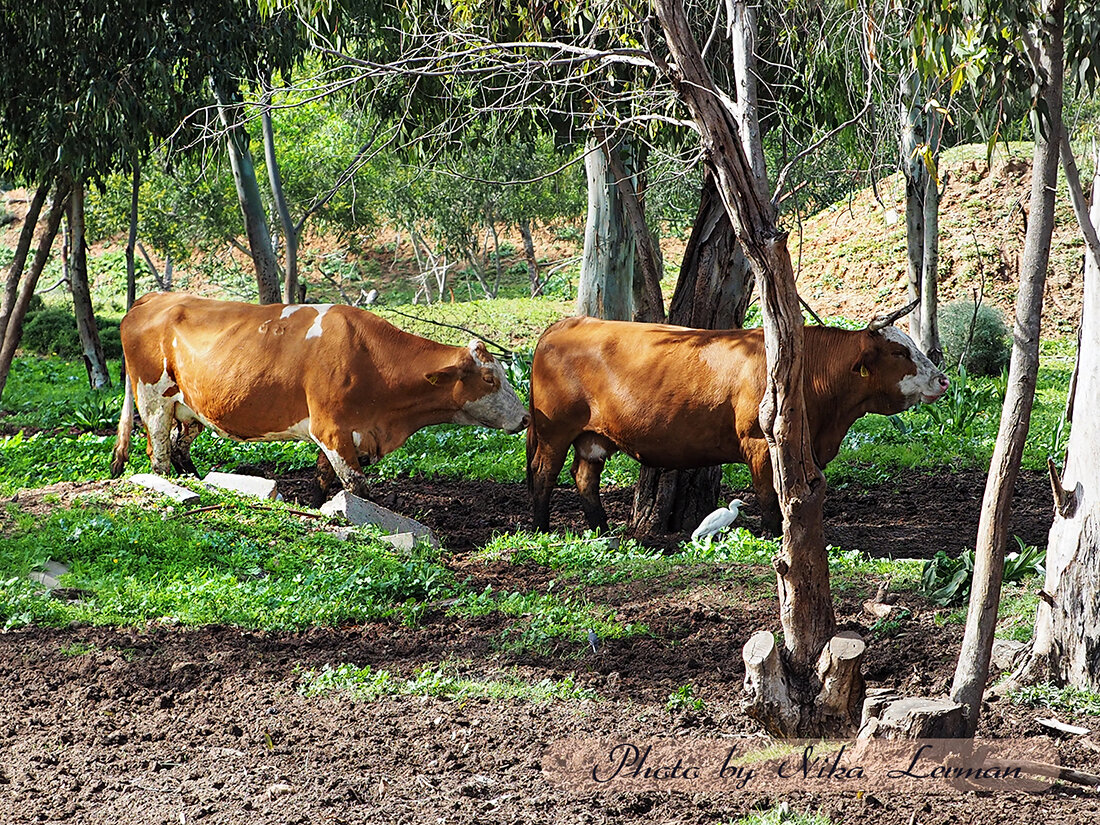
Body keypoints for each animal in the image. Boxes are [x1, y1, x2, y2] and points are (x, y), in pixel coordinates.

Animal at [111, 294, 528, 495]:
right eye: (489, 378)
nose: (526, 417)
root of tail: (152, 298)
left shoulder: (342, 436)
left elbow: (327, 484)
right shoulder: (332, 431)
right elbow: (358, 486)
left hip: (193, 408)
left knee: (180, 447)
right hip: (154, 400)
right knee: (160, 453)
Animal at [523, 312, 946, 536]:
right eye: (898, 351)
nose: (942, 379)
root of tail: (568, 322)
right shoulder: (759, 442)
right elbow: (768, 494)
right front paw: (775, 535)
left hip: (591, 437)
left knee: (584, 477)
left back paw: (600, 527)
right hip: (554, 431)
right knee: (544, 474)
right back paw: (541, 527)